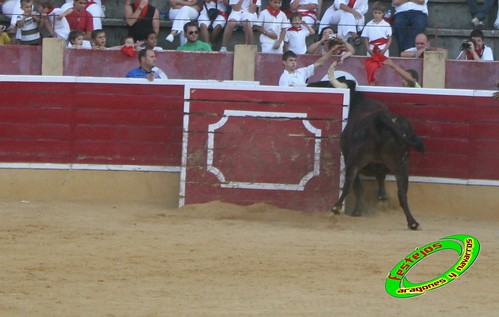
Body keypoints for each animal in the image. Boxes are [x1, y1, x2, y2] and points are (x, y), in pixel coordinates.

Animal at [308, 72, 426, 230]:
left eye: (327, 84)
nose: (309, 84)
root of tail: (380, 119)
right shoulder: (382, 165)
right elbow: (380, 178)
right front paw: (382, 198)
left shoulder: (350, 158)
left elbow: (358, 186)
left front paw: (358, 211)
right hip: (401, 164)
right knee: (402, 193)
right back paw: (412, 222)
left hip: (354, 161)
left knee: (349, 184)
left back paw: (336, 209)